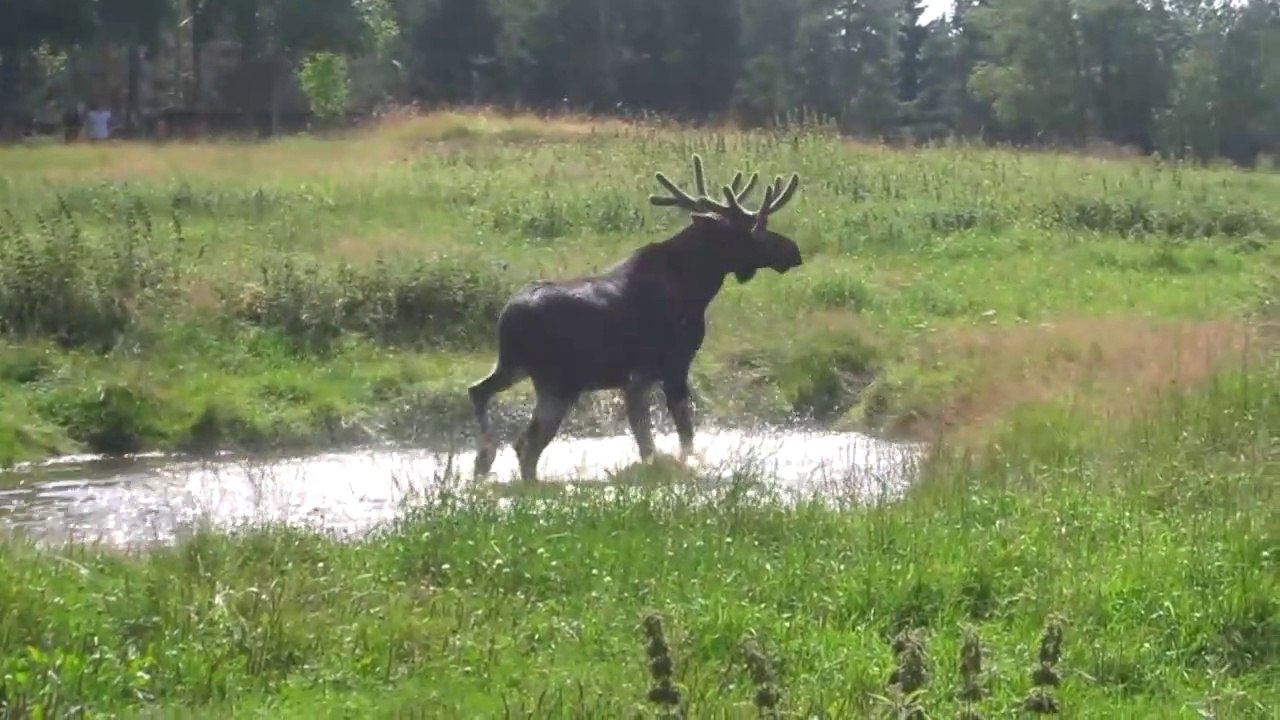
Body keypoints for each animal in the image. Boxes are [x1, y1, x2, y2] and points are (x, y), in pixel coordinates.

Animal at [468, 154, 803, 482]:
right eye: (749, 230)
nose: (793, 250)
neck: (697, 286)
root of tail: (509, 317)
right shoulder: (670, 367)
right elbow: (681, 435)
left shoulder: (638, 378)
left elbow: (648, 442)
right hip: (558, 382)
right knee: (527, 443)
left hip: (513, 365)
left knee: (481, 395)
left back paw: (484, 459)